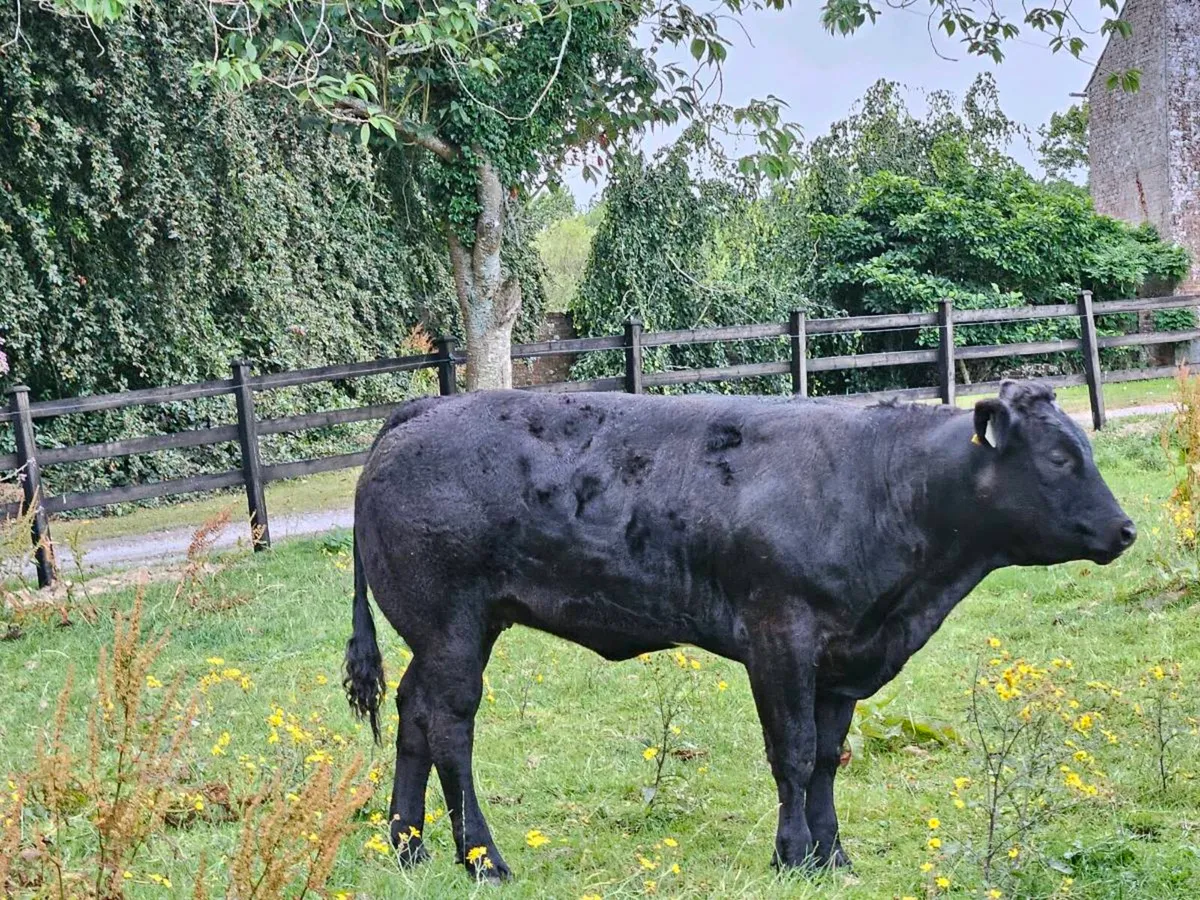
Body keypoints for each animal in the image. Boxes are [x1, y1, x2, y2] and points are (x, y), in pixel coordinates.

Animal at [342, 380, 1136, 881]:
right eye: (1059, 458)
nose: (1126, 528)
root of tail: (423, 408)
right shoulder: (779, 637)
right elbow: (793, 754)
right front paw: (793, 856)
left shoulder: (843, 658)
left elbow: (827, 760)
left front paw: (833, 857)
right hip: (452, 626)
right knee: (450, 729)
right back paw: (483, 861)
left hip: (447, 633)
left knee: (414, 715)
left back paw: (408, 848)